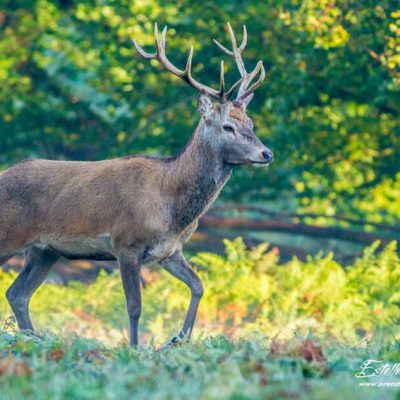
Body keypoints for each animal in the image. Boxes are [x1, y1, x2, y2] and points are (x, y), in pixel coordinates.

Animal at [0, 23, 274, 346]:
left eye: (251, 124)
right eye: (227, 127)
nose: (266, 153)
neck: (173, 208)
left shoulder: (169, 250)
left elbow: (198, 285)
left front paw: (178, 339)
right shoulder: (126, 243)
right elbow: (134, 306)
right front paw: (135, 347)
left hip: (45, 250)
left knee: (17, 294)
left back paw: (35, 339)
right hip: (9, 236)